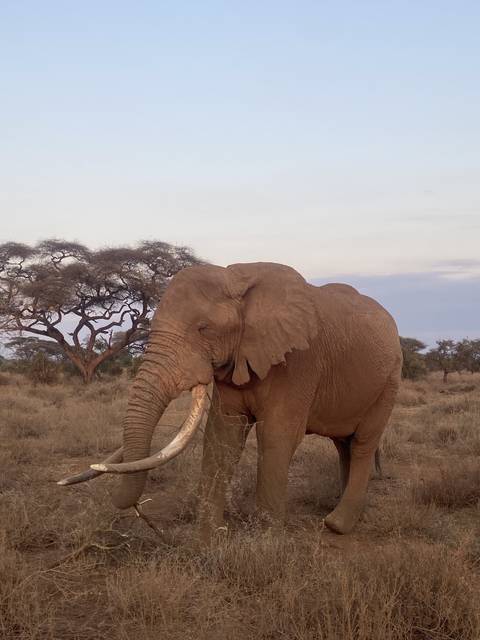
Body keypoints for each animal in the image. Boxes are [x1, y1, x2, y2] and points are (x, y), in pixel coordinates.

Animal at [59, 262, 402, 538]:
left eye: (204, 329)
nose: (144, 516)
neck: (237, 278)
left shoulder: (300, 362)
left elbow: (277, 435)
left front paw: (266, 542)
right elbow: (223, 434)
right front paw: (210, 537)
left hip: (390, 380)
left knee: (362, 444)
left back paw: (338, 525)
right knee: (344, 444)